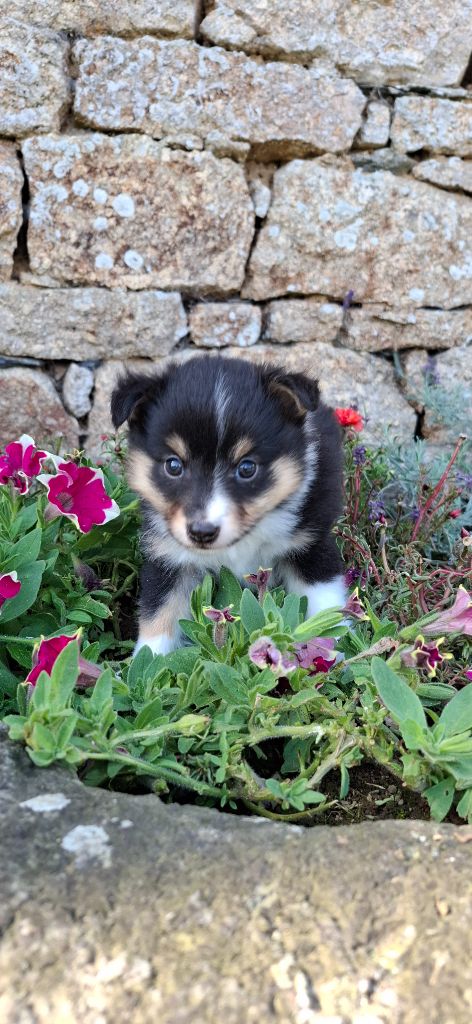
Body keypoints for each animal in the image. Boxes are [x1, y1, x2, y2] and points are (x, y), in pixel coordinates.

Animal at [111, 354, 346, 655]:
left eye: (247, 468)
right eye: (173, 465)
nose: (201, 533)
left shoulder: (311, 546)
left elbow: (326, 608)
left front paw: (334, 656)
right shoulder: (169, 557)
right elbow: (158, 618)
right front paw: (147, 664)